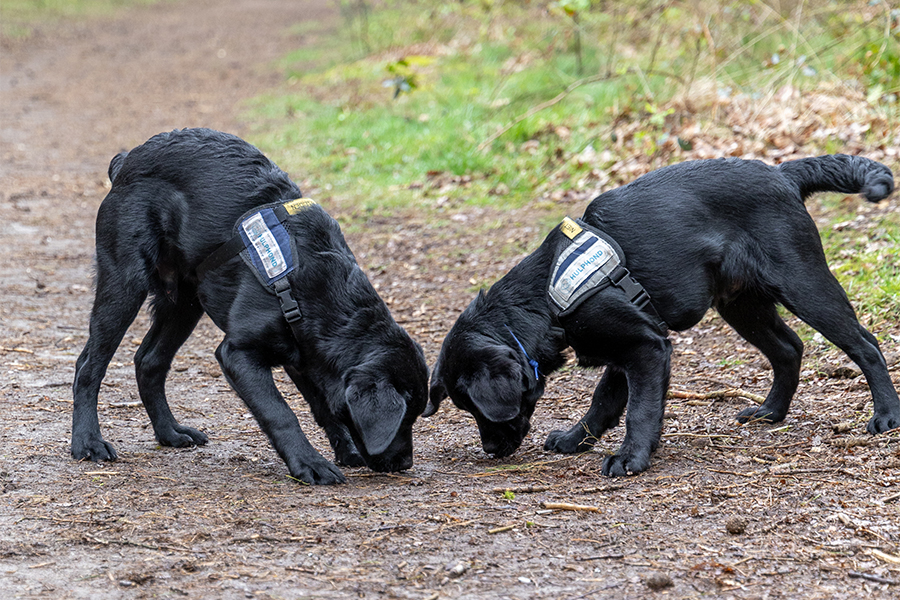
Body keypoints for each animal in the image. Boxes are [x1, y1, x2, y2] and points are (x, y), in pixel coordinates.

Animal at [72, 129, 430, 486]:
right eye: (404, 418)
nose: (404, 463)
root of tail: (126, 160)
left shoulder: (305, 359)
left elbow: (324, 407)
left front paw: (346, 451)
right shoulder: (238, 354)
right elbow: (280, 413)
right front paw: (309, 463)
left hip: (185, 303)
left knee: (149, 361)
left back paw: (170, 433)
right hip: (125, 284)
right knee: (88, 365)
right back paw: (87, 442)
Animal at [430, 156, 900, 478]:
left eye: (476, 408)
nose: (490, 450)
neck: (543, 296)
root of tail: (783, 174)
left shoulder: (646, 347)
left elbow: (639, 410)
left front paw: (630, 458)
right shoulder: (626, 352)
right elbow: (603, 404)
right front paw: (575, 440)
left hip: (804, 284)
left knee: (866, 344)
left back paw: (887, 415)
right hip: (741, 305)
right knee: (789, 348)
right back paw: (770, 412)